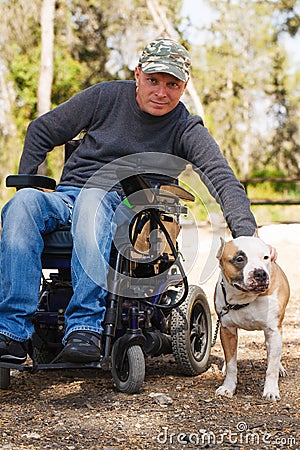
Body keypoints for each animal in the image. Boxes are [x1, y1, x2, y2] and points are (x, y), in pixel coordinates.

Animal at [214, 236, 290, 400]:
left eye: (265, 257)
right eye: (239, 259)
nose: (261, 273)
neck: (244, 298)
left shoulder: (274, 331)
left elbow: (272, 366)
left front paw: (271, 390)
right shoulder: (227, 330)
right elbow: (231, 363)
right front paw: (228, 387)